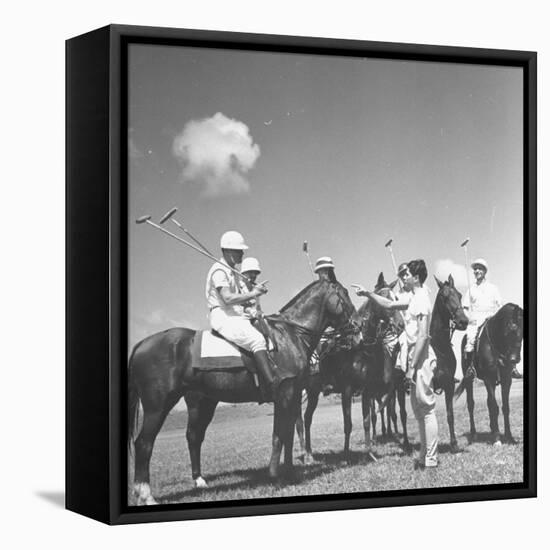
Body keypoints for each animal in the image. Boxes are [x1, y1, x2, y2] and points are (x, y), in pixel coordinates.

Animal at [130, 282, 362, 506]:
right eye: (344, 294)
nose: (358, 327)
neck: (290, 336)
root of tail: (142, 344)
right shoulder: (284, 395)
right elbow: (278, 435)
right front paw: (274, 475)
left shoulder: (293, 396)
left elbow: (287, 434)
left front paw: (289, 471)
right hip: (158, 406)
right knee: (144, 443)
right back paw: (146, 495)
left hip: (203, 403)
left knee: (193, 436)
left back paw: (199, 481)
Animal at [460, 304, 524, 446]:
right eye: (511, 328)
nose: (514, 359)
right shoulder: (488, 379)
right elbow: (494, 407)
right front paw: (497, 438)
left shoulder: (506, 379)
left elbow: (505, 407)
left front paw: (509, 437)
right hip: (469, 380)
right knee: (471, 404)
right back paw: (474, 434)